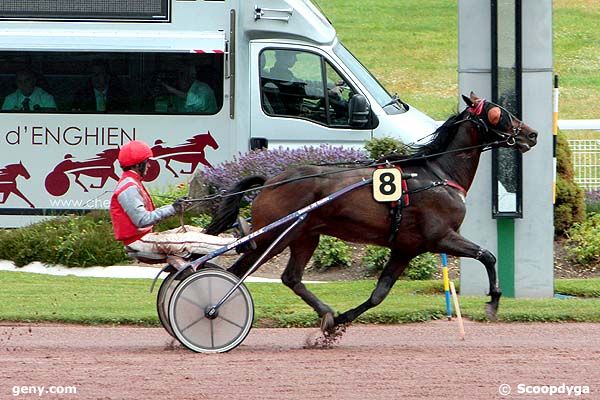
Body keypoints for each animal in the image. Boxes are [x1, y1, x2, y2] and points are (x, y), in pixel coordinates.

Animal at [205, 93, 540, 332]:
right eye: (498, 113)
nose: (532, 134)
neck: (438, 173)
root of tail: (271, 180)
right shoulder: (441, 237)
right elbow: (488, 256)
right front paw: (493, 301)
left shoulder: (406, 248)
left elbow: (379, 293)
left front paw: (340, 320)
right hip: (274, 234)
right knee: (233, 272)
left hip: (303, 235)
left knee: (290, 278)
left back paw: (326, 313)